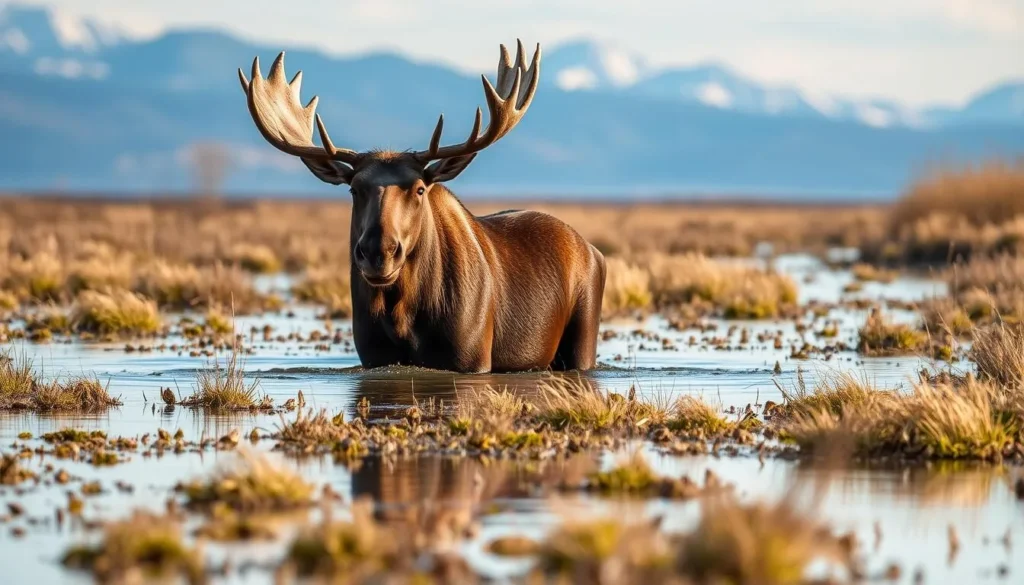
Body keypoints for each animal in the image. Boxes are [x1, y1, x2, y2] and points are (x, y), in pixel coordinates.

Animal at [238, 41, 606, 373]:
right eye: (354, 189)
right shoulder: (373, 357)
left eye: (418, 189)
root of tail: (593, 251)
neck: (403, 313)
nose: (378, 252)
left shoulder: (473, 359)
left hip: (583, 338)